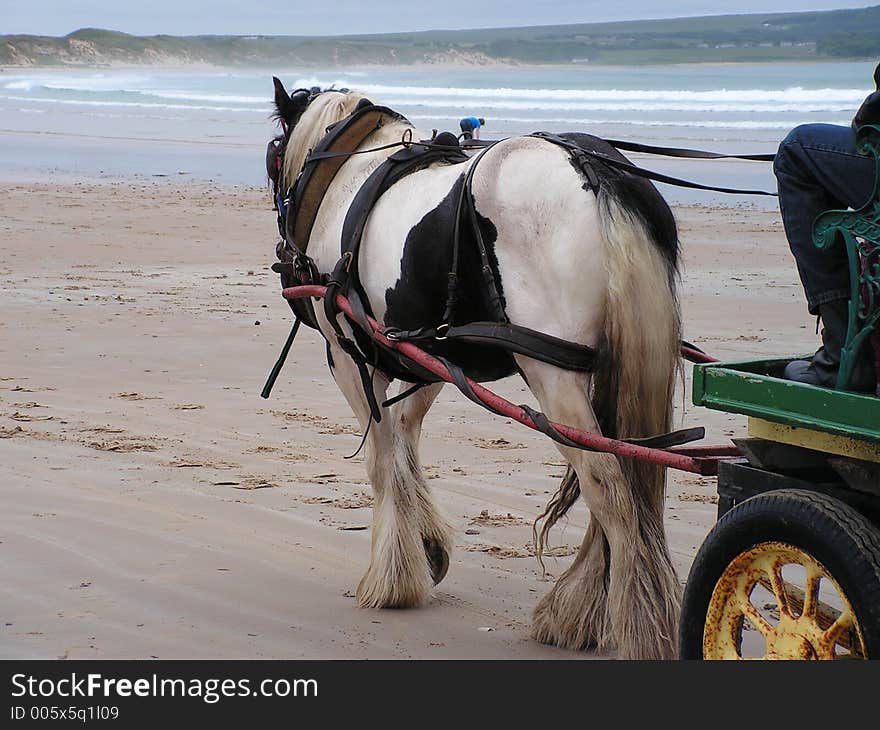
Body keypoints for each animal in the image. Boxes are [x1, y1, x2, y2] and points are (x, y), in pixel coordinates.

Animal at [272, 77, 684, 656]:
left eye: (274, 154)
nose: (284, 257)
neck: (352, 171)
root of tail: (592, 167)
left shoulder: (349, 354)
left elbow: (381, 457)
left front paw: (393, 578)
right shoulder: (432, 353)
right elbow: (405, 436)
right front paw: (427, 547)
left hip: (551, 372)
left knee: (607, 481)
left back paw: (637, 627)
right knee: (627, 468)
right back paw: (581, 610)